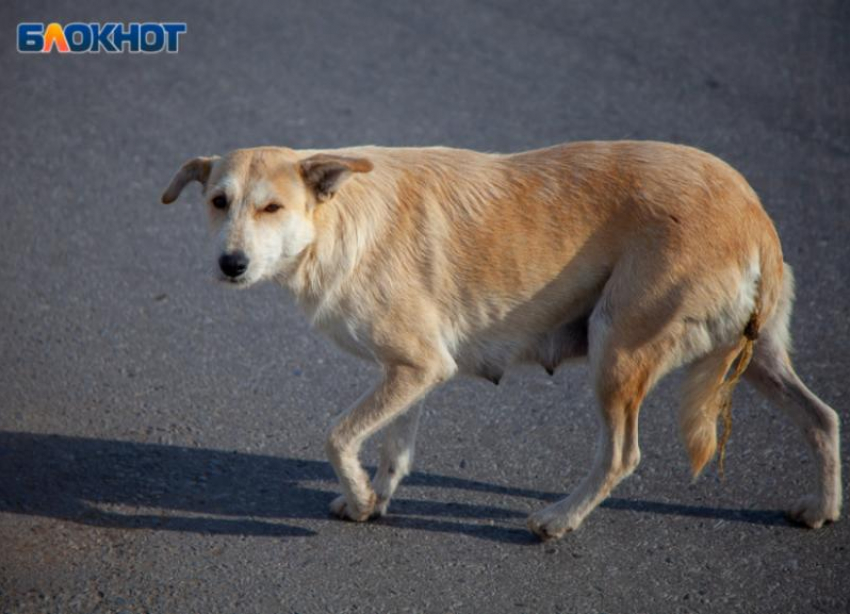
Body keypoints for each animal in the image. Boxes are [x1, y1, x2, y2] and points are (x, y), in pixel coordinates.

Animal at [162, 142, 840, 540]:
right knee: (823, 419)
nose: (230, 264)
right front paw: (372, 501)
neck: (338, 220)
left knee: (621, 455)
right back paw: (822, 509)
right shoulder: (413, 370)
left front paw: (357, 496)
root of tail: (752, 211)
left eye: (271, 208)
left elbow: (337, 436)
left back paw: (558, 520)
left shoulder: (416, 367)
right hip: (758, 359)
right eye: (219, 202)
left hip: (616, 349)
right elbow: (393, 448)